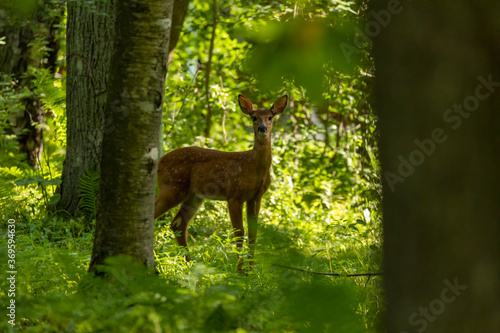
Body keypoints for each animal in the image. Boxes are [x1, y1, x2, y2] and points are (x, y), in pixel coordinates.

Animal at [155, 94, 290, 272]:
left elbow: (253, 232)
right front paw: (240, 270)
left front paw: (252, 270)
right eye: (254, 117)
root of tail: (159, 161)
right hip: (172, 187)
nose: (262, 128)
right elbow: (239, 232)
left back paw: (189, 264)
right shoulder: (234, 194)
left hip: (194, 196)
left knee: (178, 223)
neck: (254, 168)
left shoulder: (256, 197)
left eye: (270, 117)